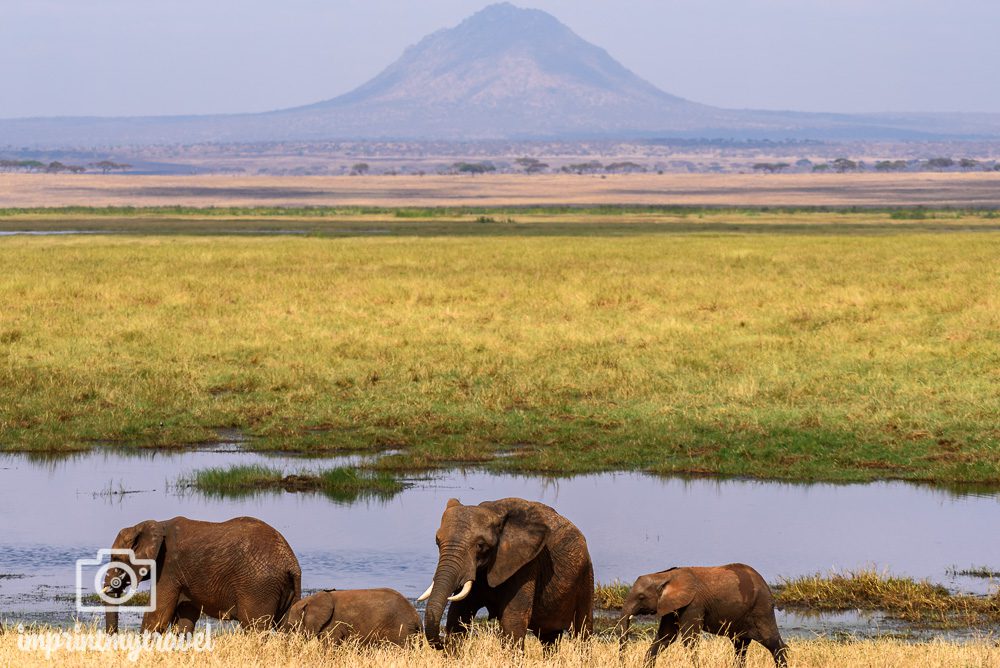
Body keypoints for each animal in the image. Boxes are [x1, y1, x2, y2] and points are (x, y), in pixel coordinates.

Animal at [104, 516, 304, 636]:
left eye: (116, 558)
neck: (156, 524)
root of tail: (291, 563)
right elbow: (185, 618)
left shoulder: (168, 569)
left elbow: (157, 615)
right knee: (288, 628)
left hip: (258, 586)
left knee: (255, 628)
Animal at [416, 498, 588, 648]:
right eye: (437, 542)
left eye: (480, 545)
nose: (441, 642)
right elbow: (458, 614)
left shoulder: (526, 564)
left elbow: (512, 620)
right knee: (549, 638)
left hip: (586, 574)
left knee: (582, 631)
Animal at [616, 564, 788, 668]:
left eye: (641, 597)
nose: (623, 663)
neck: (667, 575)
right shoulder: (671, 606)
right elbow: (666, 636)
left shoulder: (693, 604)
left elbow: (689, 639)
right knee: (740, 645)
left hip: (761, 608)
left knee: (772, 642)